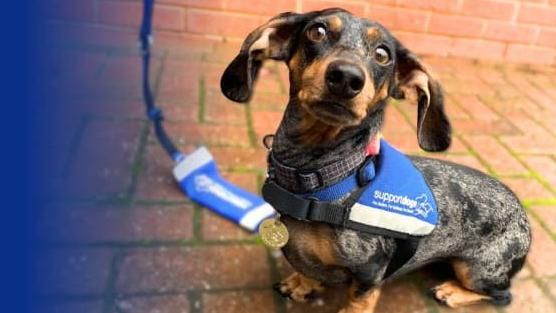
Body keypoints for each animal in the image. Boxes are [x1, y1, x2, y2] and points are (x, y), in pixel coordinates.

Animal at [219, 7, 532, 312]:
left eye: (383, 54)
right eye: (316, 31)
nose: (346, 78)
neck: (328, 176)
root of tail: (523, 216)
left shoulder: (369, 274)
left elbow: (356, 303)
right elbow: (309, 270)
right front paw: (302, 282)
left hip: (477, 271)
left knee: (502, 295)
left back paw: (452, 293)